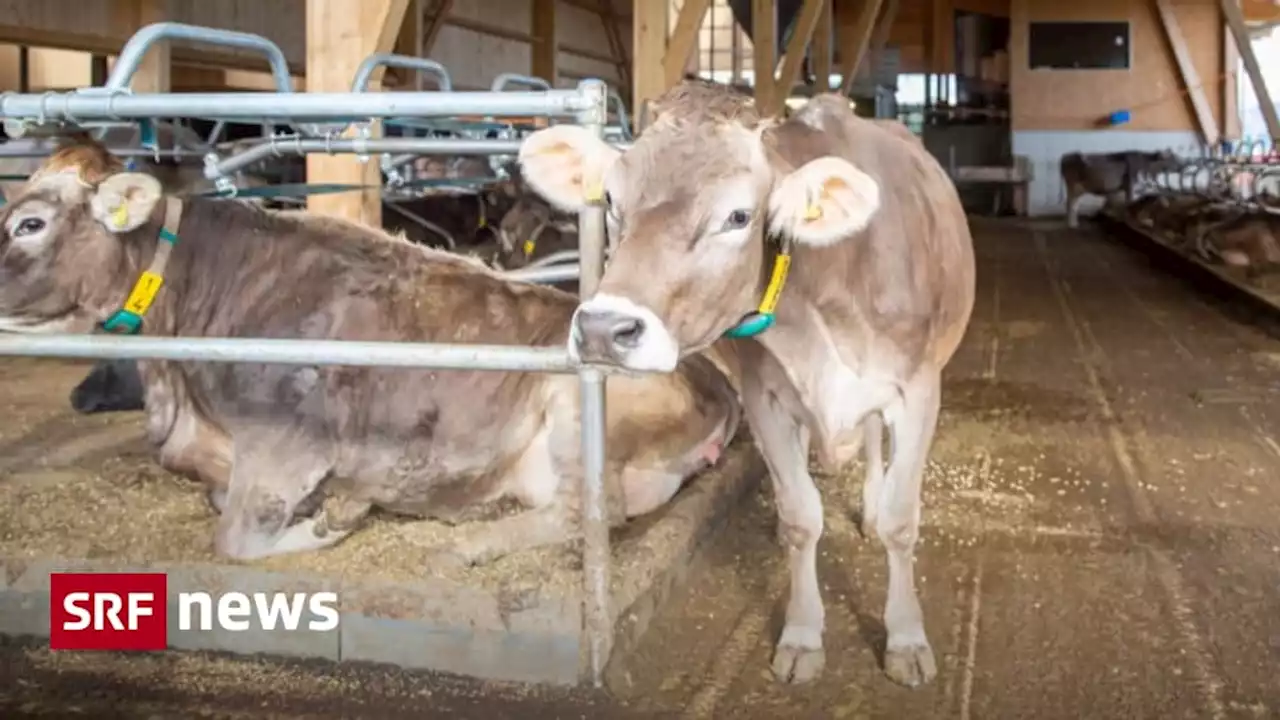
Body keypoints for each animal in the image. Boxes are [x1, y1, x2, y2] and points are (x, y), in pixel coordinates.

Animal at [0, 139, 747, 566]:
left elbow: (235, 540)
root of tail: (714, 379)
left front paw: (330, 523)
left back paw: (468, 545)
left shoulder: (287, 442)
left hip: (572, 400)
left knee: (594, 510)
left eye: (29, 223)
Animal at [514, 81, 972, 686]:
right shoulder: (765, 397)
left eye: (737, 216)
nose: (602, 329)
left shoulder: (917, 391)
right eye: (610, 200)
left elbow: (901, 522)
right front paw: (802, 635)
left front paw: (906, 638)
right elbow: (801, 517)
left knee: (875, 443)